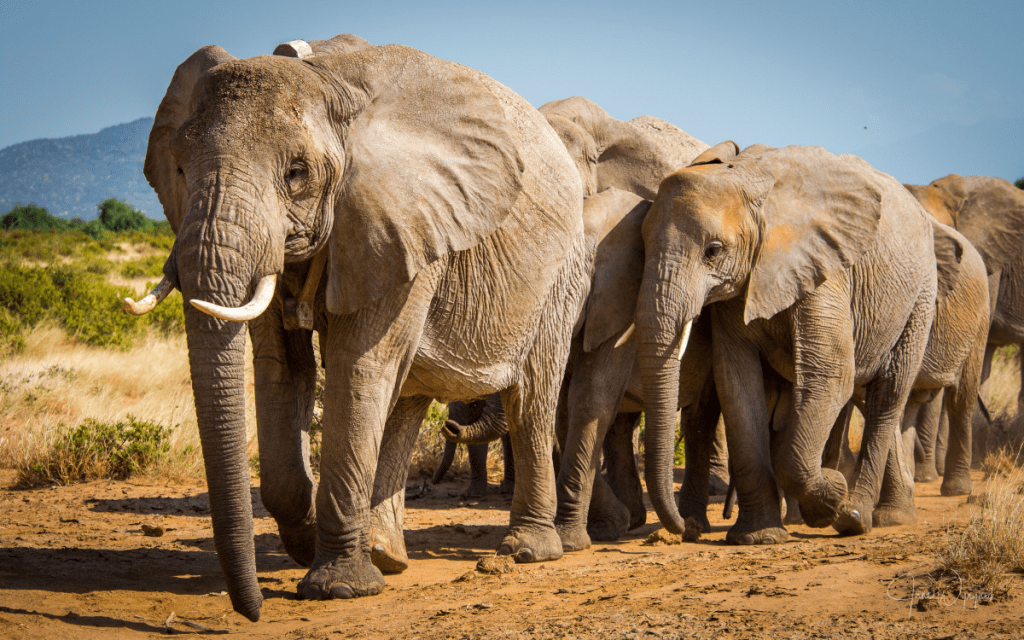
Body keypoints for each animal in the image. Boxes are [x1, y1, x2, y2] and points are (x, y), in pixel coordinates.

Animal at [126, 40, 592, 620]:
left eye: (297, 173)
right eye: (180, 169)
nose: (251, 611)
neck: (325, 83)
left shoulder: (404, 223)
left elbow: (357, 366)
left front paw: (337, 587)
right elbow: (282, 368)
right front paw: (307, 543)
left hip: (561, 274)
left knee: (530, 397)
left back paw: (527, 551)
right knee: (408, 397)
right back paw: (386, 554)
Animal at [636, 141, 945, 545]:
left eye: (713, 250)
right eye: (641, 248)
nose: (685, 530)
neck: (747, 181)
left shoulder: (824, 270)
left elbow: (830, 374)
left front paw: (831, 494)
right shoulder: (738, 291)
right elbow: (737, 384)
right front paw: (758, 537)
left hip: (920, 295)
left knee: (887, 395)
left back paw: (854, 518)